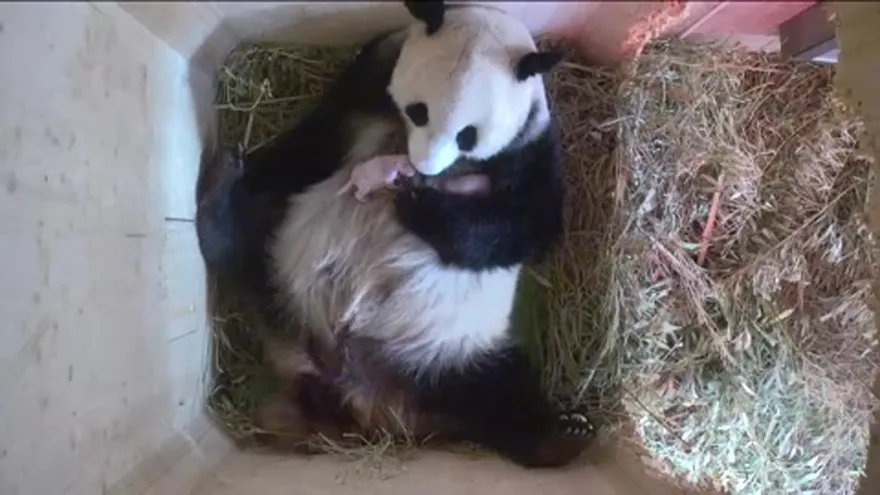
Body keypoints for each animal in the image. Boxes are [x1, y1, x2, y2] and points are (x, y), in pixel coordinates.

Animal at [197, 1, 595, 469]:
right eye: (420, 110)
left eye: (468, 135)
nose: (422, 168)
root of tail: (352, 386)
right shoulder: (365, 85)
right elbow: (311, 145)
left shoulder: (529, 149)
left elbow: (525, 224)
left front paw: (417, 205)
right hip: (287, 264)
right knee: (250, 241)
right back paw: (222, 194)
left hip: (449, 351)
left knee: (500, 398)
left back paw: (561, 434)